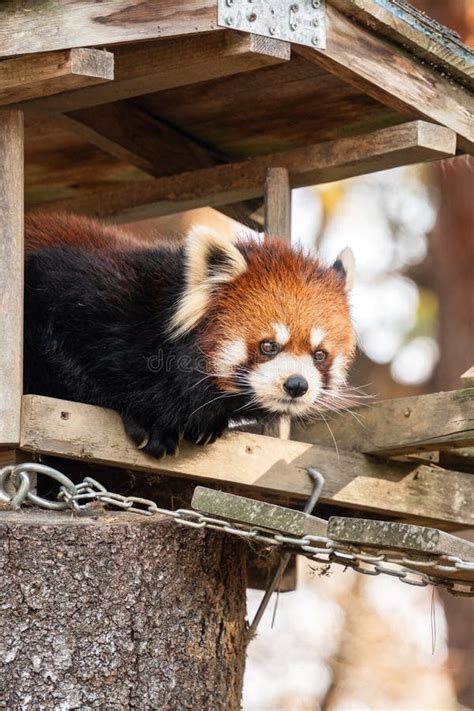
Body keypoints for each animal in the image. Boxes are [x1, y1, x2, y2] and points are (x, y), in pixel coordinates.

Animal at [23, 213, 356, 456]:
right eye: (268, 346)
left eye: (319, 354)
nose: (297, 385)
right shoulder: (85, 292)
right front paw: (148, 418)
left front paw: (205, 424)